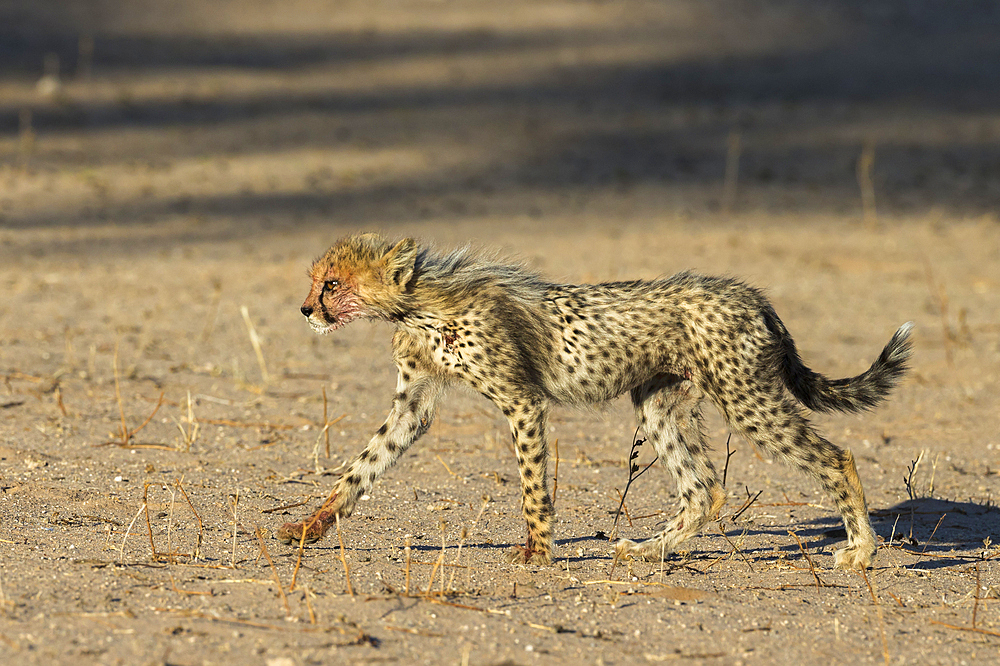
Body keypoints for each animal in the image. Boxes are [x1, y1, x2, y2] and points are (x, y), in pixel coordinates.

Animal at [276, 231, 916, 568]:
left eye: (332, 284)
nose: (305, 310)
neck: (420, 304)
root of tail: (752, 293)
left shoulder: (521, 401)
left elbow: (533, 484)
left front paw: (537, 551)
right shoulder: (414, 404)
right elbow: (362, 466)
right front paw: (308, 527)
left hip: (745, 397)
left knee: (835, 456)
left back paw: (860, 552)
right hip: (658, 403)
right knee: (703, 488)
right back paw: (649, 549)